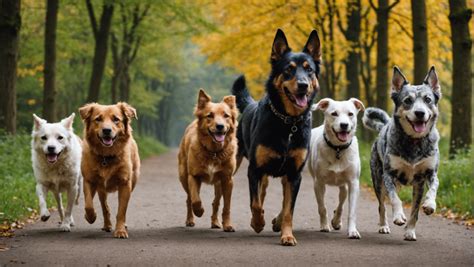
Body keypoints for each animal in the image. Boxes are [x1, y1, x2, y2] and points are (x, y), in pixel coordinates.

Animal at [78, 102, 140, 239]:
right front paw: (90, 217)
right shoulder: (89, 180)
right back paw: (107, 225)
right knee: (104, 206)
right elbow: (88, 204)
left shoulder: (124, 183)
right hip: (101, 189)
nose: (107, 130)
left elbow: (121, 210)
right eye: (98, 119)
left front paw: (120, 230)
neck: (106, 156)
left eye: (116, 119)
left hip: (133, 181)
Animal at [178, 90, 239, 232]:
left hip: (218, 184)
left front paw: (227, 225)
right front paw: (199, 211)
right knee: (189, 199)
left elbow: (226, 206)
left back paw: (215, 222)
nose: (220, 126)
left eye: (226, 116)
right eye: (209, 115)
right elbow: (195, 200)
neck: (214, 152)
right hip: (184, 178)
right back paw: (190, 220)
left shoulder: (227, 180)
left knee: (215, 202)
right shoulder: (193, 176)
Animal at [231, 29, 320, 247]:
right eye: (288, 69)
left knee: (271, 196)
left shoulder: (294, 173)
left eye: (309, 70)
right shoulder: (254, 169)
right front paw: (257, 222)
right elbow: (255, 204)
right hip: (237, 163)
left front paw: (287, 234)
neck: (288, 122)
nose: (303, 85)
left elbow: (289, 209)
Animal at [310, 97, 364, 240]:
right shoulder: (319, 183)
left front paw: (353, 231)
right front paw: (324, 225)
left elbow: (352, 211)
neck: (338, 149)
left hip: (343, 185)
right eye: (334, 113)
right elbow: (322, 207)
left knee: (341, 200)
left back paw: (336, 220)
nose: (344, 125)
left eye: (350, 114)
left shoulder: (353, 183)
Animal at [364, 66, 442, 242]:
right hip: (378, 181)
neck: (414, 142)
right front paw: (399, 216)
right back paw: (384, 226)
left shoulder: (428, 175)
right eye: (407, 100)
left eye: (428, 99)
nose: (420, 113)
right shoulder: (388, 175)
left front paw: (428, 206)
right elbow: (395, 199)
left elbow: (429, 194)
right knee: (381, 206)